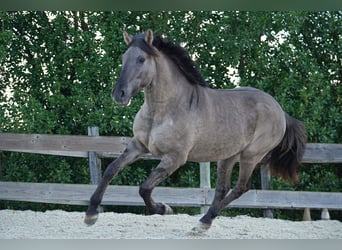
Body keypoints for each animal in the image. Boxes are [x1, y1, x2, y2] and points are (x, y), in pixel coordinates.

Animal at [83, 28, 308, 232]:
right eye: (124, 58)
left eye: (141, 59)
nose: (119, 94)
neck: (164, 110)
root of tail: (280, 111)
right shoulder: (138, 146)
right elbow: (111, 170)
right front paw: (91, 214)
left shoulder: (175, 158)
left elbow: (144, 187)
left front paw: (164, 209)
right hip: (228, 155)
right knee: (222, 189)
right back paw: (204, 223)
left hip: (251, 156)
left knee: (241, 187)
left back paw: (203, 222)